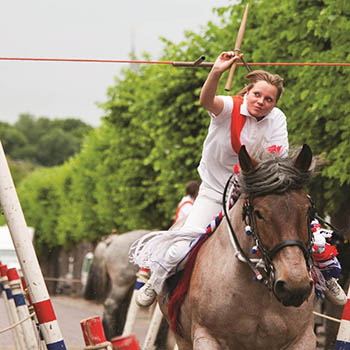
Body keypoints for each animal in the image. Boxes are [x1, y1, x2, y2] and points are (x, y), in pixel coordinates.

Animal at [160, 145, 316, 350]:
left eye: (307, 210)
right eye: (259, 214)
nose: (295, 286)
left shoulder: (303, 338)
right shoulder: (206, 336)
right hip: (182, 338)